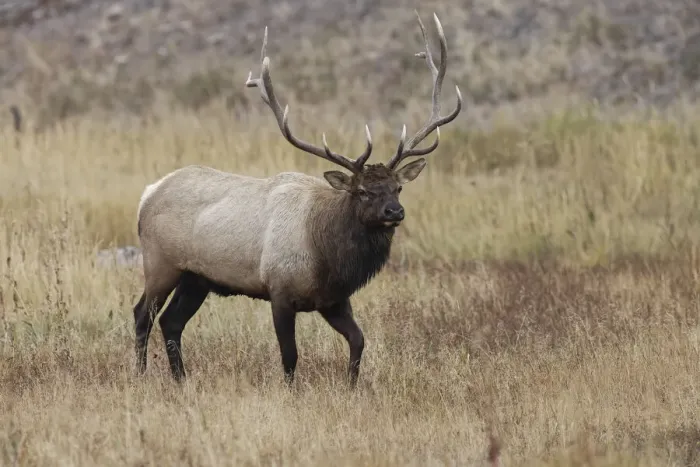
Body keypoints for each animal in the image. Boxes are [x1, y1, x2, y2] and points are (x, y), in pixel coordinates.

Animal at [133, 11, 462, 388]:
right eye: (361, 191)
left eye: (398, 187)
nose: (395, 211)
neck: (328, 256)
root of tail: (148, 194)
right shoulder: (279, 290)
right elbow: (290, 356)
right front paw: (291, 392)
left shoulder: (333, 300)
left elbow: (359, 341)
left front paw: (351, 387)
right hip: (161, 261)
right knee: (142, 314)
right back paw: (141, 375)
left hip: (196, 277)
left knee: (171, 321)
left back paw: (181, 380)